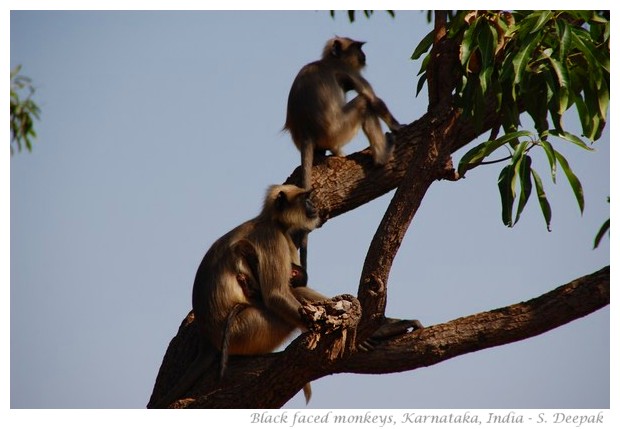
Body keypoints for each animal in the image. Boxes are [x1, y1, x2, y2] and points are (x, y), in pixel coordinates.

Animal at [284, 36, 402, 266]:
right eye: (358, 47)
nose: (364, 55)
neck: (328, 60)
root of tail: (306, 131)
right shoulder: (348, 71)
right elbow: (372, 99)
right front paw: (398, 127)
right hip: (337, 130)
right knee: (363, 104)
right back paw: (382, 156)